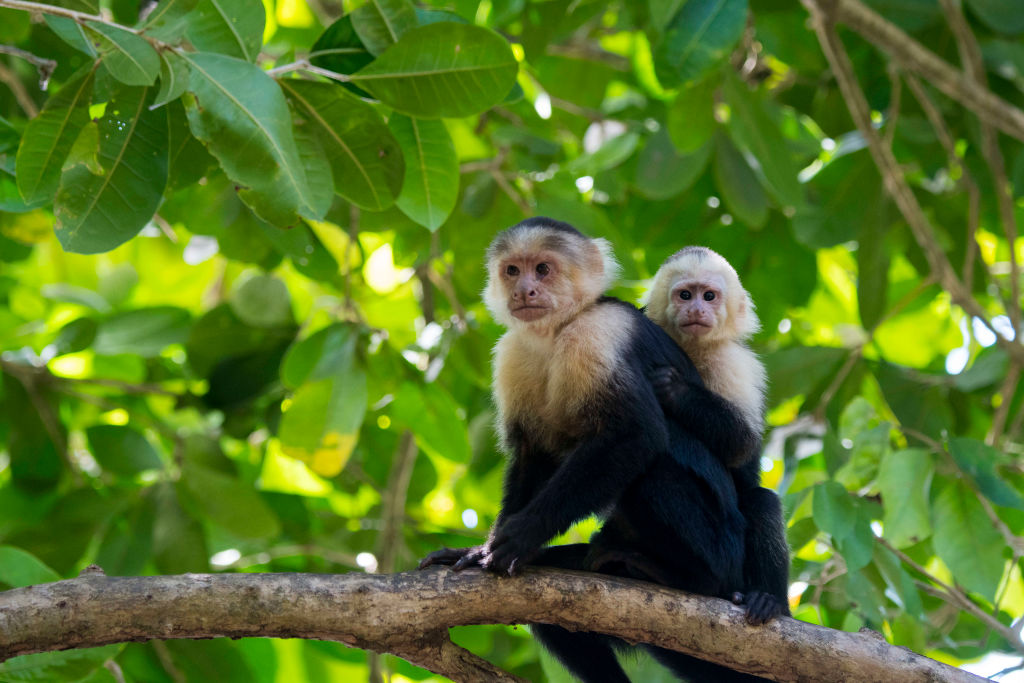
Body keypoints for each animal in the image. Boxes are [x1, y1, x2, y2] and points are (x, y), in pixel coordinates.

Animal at [417, 218, 770, 683]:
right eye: (513, 270)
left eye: (543, 269)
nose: (525, 290)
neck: (557, 331)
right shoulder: (512, 353)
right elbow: (534, 456)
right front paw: (480, 549)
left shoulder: (602, 332)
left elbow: (636, 435)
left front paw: (518, 536)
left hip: (726, 547)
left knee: (656, 470)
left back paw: (694, 578)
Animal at [647, 245, 790, 626]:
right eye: (685, 295)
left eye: (709, 296)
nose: (697, 309)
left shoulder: (732, 363)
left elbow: (742, 444)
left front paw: (675, 389)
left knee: (761, 502)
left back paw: (771, 600)